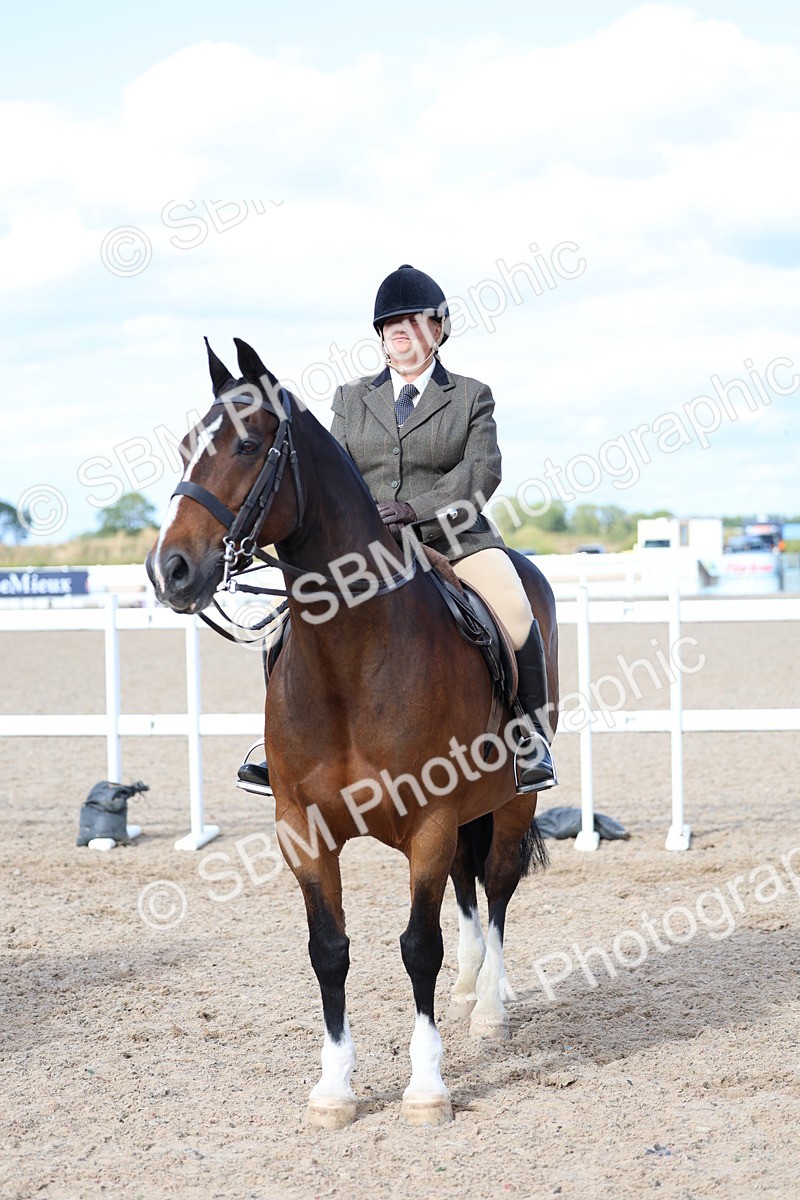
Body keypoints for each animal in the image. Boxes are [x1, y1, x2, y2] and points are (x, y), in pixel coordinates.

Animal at [146, 338, 559, 1129]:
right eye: (186, 445)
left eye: (248, 444)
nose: (170, 570)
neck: (353, 655)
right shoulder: (302, 828)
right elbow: (329, 949)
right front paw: (335, 1088)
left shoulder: (430, 820)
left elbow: (418, 946)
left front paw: (426, 1087)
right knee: (470, 889)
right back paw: (469, 992)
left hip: (512, 798)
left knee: (495, 890)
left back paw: (490, 1009)